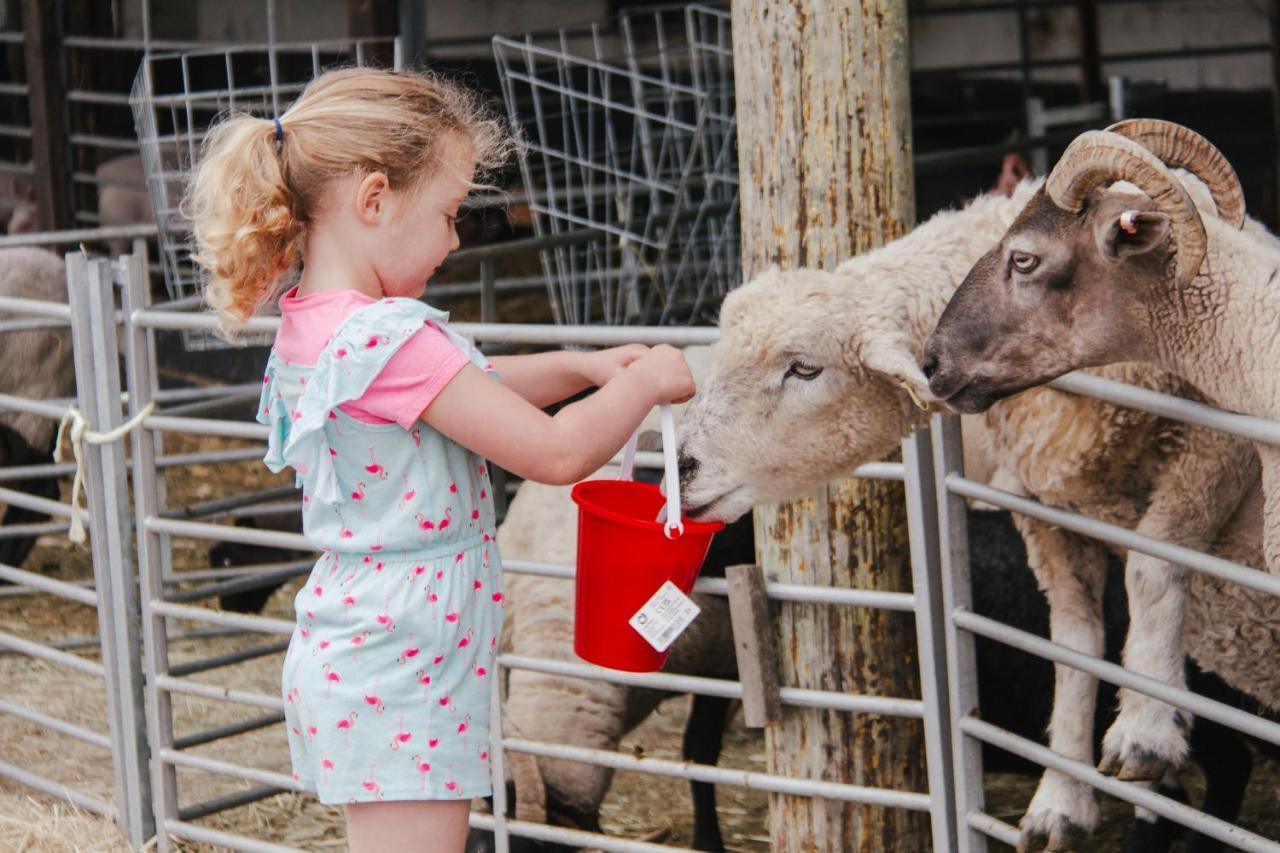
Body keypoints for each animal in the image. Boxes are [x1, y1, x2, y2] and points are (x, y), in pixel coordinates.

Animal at [680, 174, 1280, 850]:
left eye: (804, 368)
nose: (682, 465)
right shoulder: (1041, 506)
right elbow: (1073, 635)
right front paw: (1060, 798)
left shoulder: (1216, 446)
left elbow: (1153, 566)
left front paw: (1145, 728)